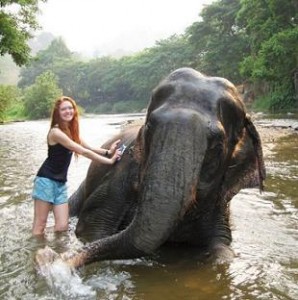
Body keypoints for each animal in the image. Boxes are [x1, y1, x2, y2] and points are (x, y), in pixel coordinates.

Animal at [35, 68, 266, 270]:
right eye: (149, 127)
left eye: (217, 146)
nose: (47, 256)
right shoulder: (119, 178)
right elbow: (93, 227)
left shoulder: (221, 202)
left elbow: (223, 244)